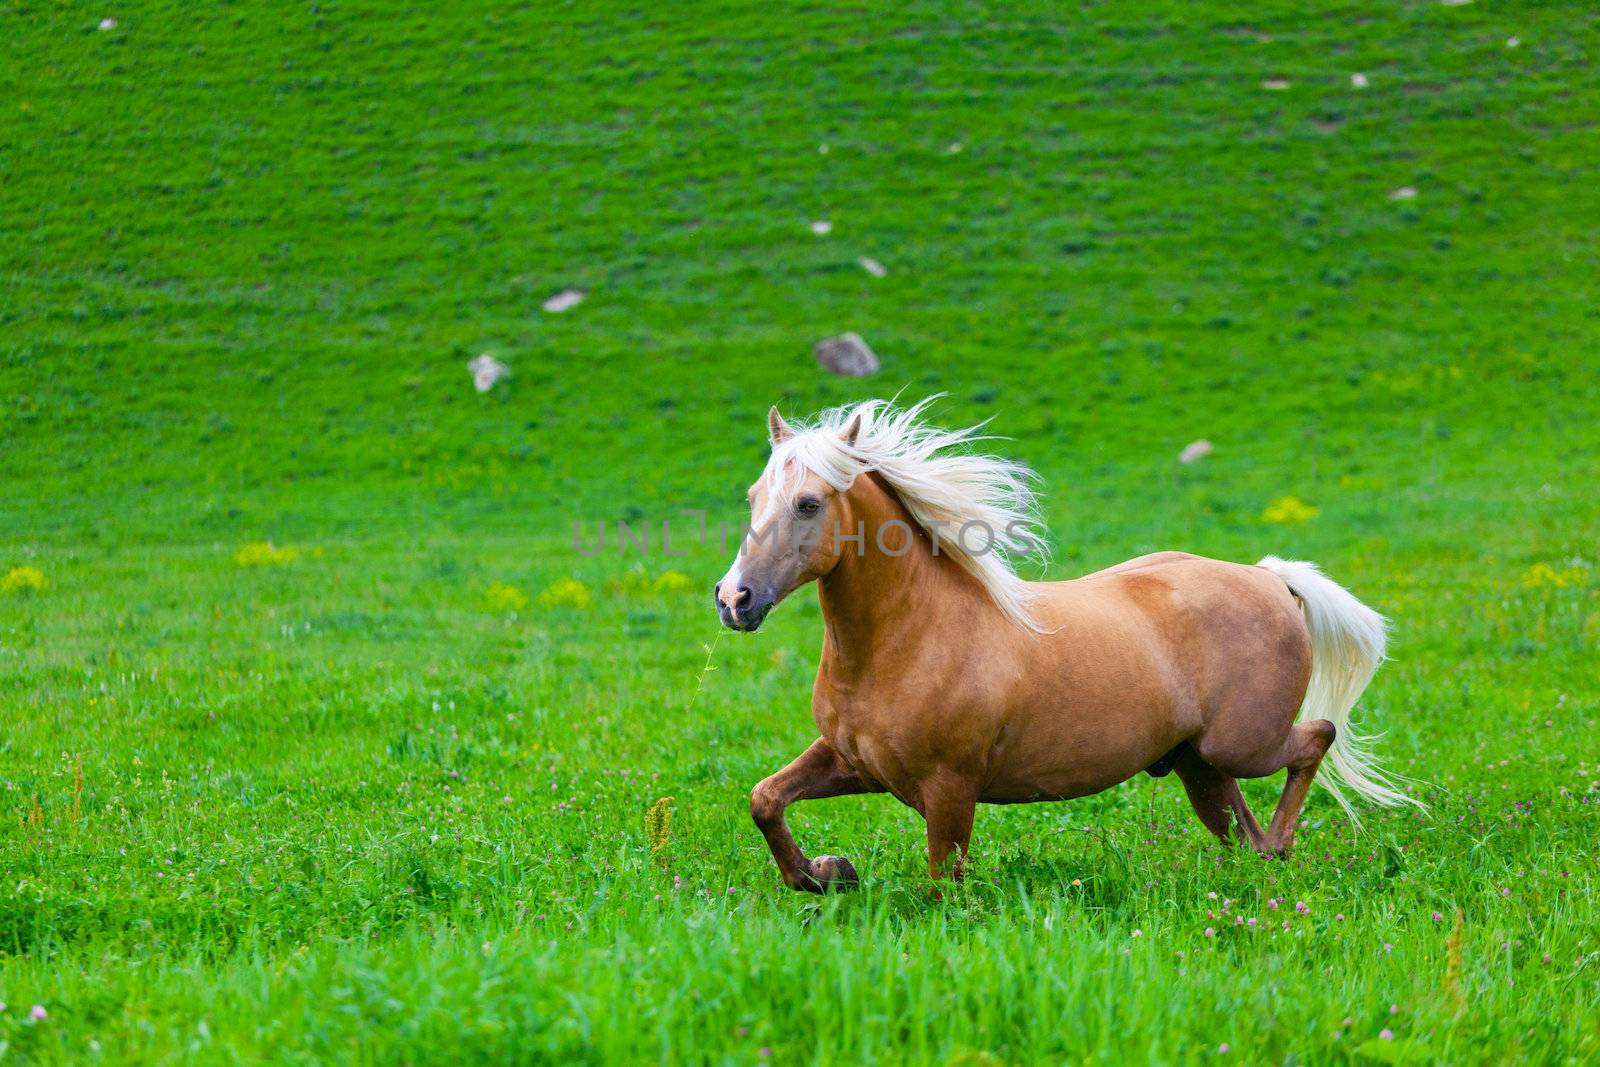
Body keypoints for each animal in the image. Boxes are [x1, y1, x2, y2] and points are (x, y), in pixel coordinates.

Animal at [713, 396, 1414, 889]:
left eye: (808, 503)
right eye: (752, 496)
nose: (734, 600)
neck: (907, 640)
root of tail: (1269, 577)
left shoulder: (948, 790)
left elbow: (943, 886)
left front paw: (834, 875)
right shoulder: (851, 760)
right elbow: (764, 799)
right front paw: (826, 874)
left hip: (1242, 746)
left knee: (1316, 737)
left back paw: (1287, 846)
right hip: (1200, 765)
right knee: (1244, 834)